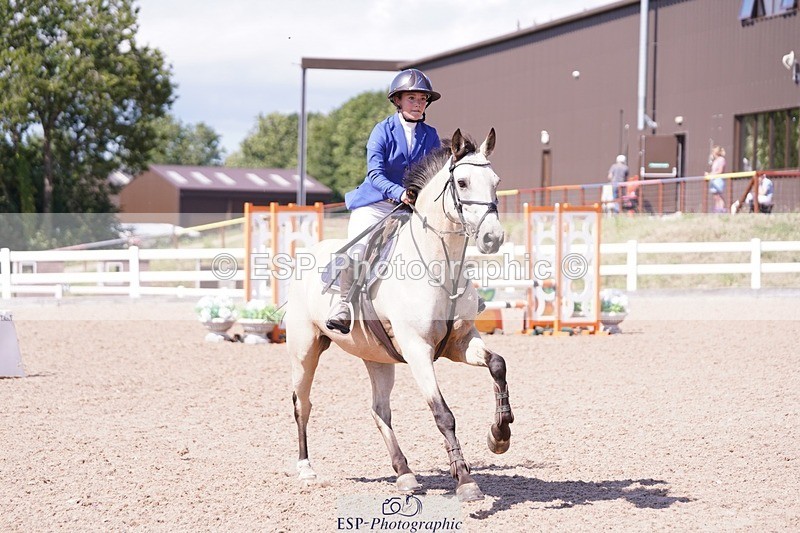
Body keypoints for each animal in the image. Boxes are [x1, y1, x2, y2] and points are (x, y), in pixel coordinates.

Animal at [285, 128, 514, 502]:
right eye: (462, 182)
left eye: (496, 182)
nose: (493, 238)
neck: (440, 267)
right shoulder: (418, 350)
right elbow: (443, 414)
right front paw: (465, 481)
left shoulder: (461, 343)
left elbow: (498, 365)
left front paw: (499, 436)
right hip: (305, 350)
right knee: (302, 404)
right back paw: (306, 471)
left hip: (377, 357)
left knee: (379, 410)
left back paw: (404, 473)